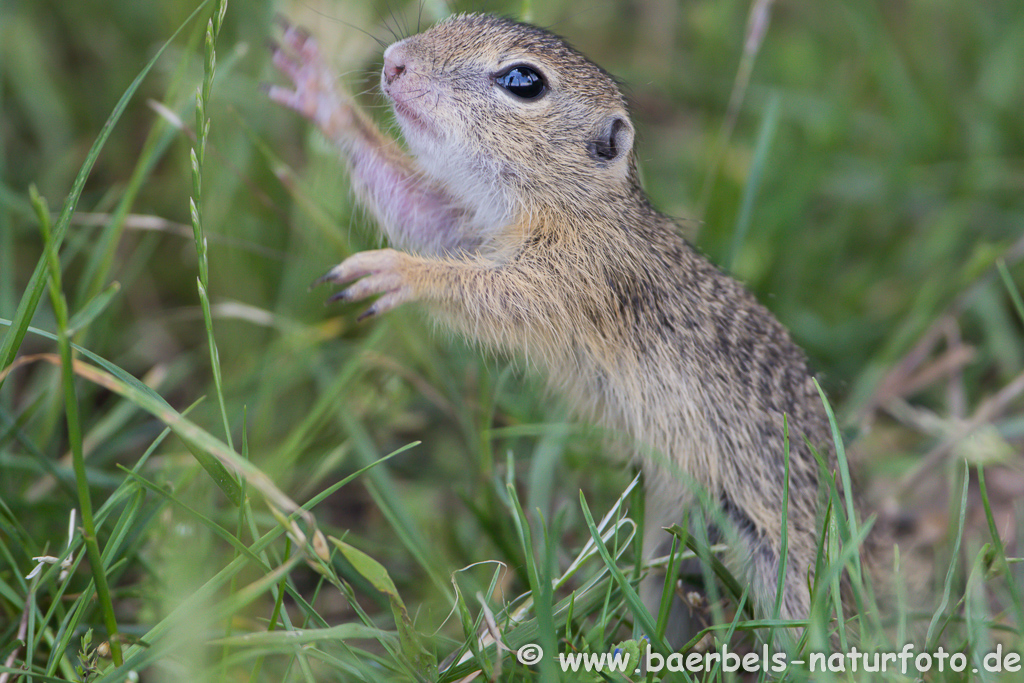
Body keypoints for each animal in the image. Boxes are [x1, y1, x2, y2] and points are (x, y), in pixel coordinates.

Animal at [268, 10, 843, 638]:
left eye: (524, 81)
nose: (395, 61)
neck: (578, 205)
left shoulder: (578, 273)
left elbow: (498, 295)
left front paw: (400, 272)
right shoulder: (472, 229)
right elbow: (421, 212)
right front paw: (323, 96)